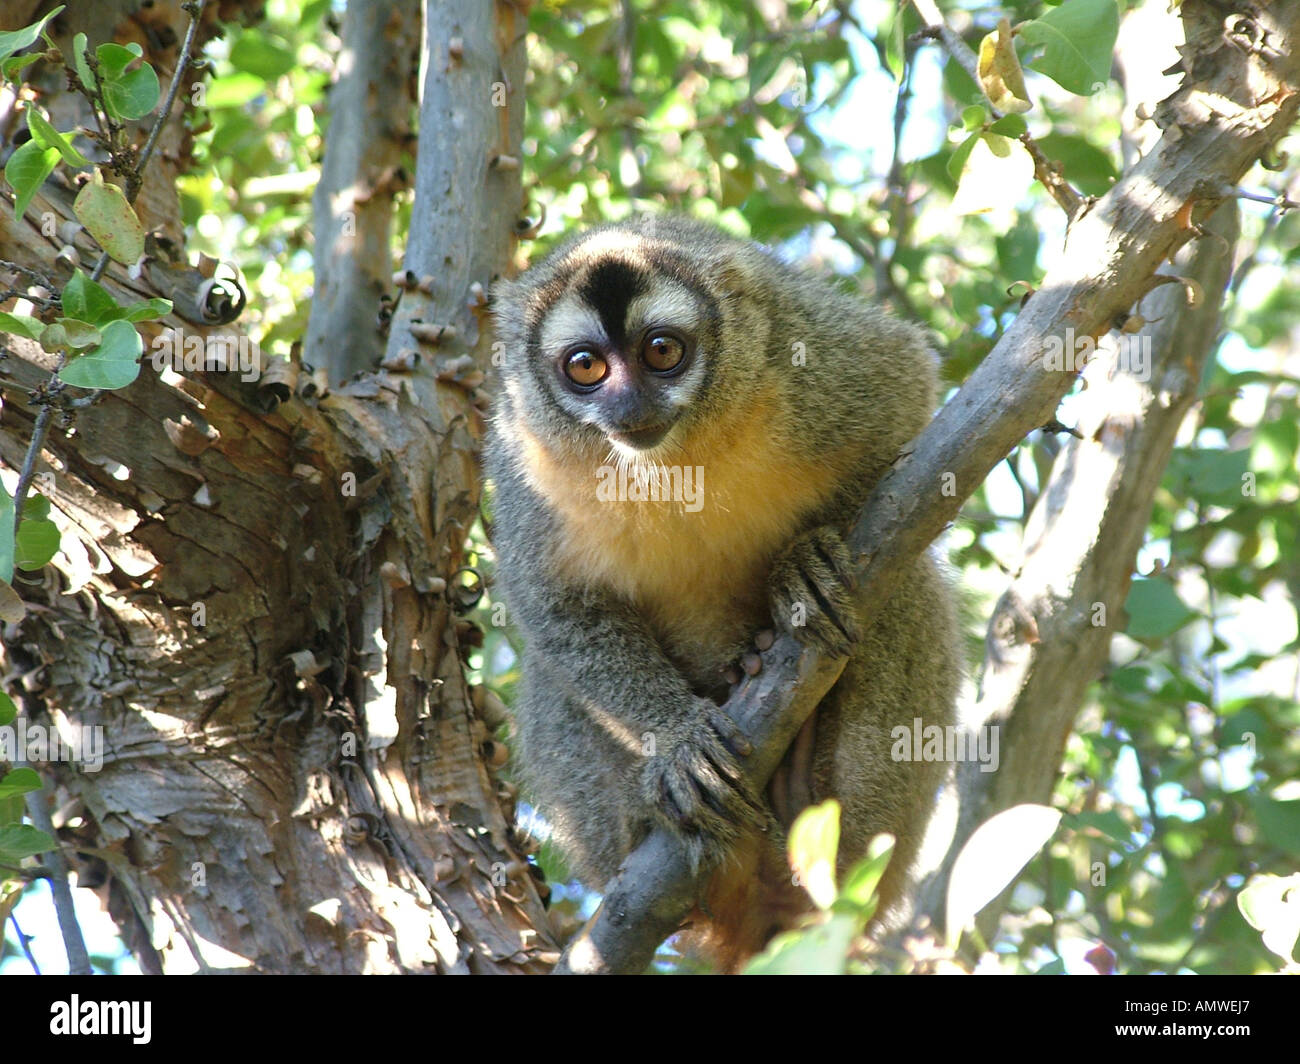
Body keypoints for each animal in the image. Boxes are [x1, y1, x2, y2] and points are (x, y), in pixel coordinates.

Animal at [485, 213, 960, 971]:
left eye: (662, 352)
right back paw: (652, 823)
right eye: (586, 367)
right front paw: (679, 743)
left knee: (903, 586)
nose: (630, 405)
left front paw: (803, 564)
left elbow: (908, 403)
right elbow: (549, 601)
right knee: (549, 675)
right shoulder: (523, 452)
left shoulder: (806, 352)